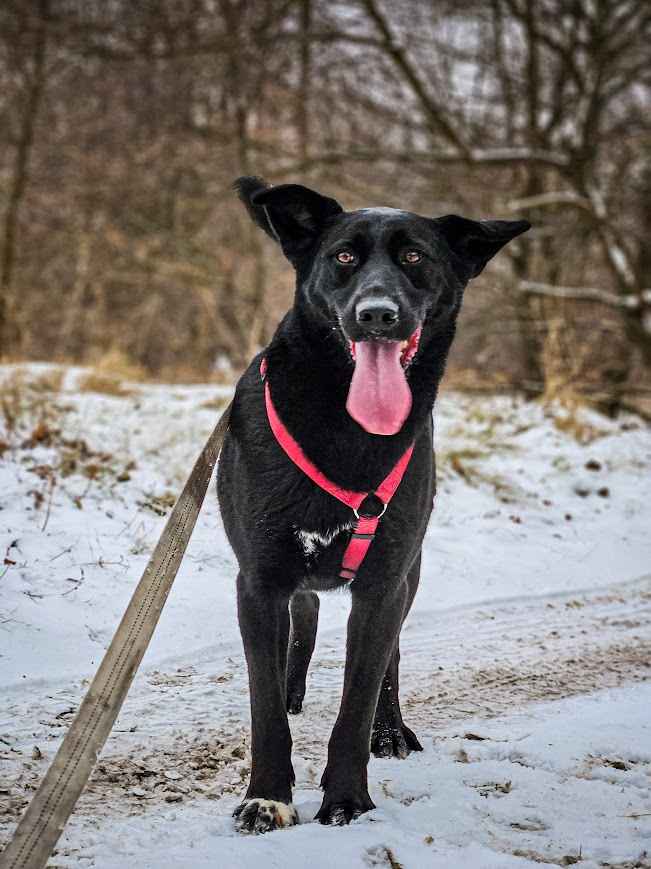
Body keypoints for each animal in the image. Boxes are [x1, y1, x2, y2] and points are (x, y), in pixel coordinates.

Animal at [216, 178, 528, 836]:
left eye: (414, 257)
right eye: (343, 257)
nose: (377, 315)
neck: (345, 427)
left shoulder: (385, 581)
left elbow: (358, 698)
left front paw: (347, 800)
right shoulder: (257, 580)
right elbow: (264, 707)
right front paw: (267, 797)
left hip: (407, 575)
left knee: (390, 657)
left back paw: (391, 729)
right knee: (304, 617)